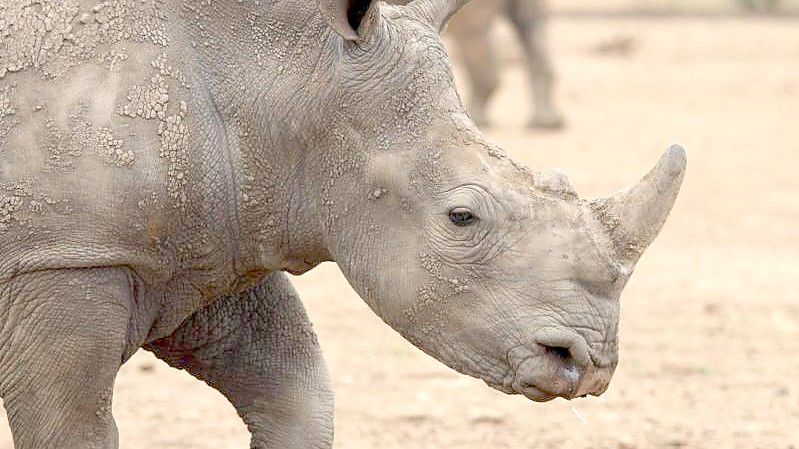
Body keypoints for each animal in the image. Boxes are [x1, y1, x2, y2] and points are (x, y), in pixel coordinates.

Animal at [0, 0, 688, 446]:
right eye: (462, 217)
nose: (587, 363)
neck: (279, 80)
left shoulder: (213, 235)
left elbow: (298, 396)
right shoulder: (65, 256)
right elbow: (75, 428)